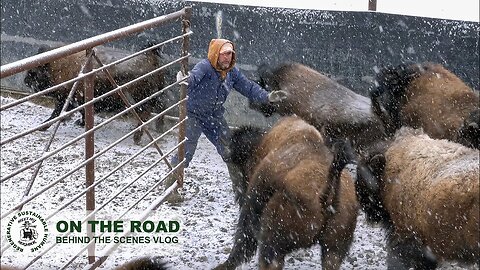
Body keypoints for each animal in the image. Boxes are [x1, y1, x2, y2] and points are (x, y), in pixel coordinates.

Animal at [23, 44, 168, 144]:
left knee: (145, 114)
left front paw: (43, 126)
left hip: (139, 100)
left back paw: (137, 137)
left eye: (35, 71)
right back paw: (159, 129)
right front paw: (79, 123)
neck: (59, 66)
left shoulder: (66, 99)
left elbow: (57, 113)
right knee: (161, 108)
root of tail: (150, 57)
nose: (26, 81)